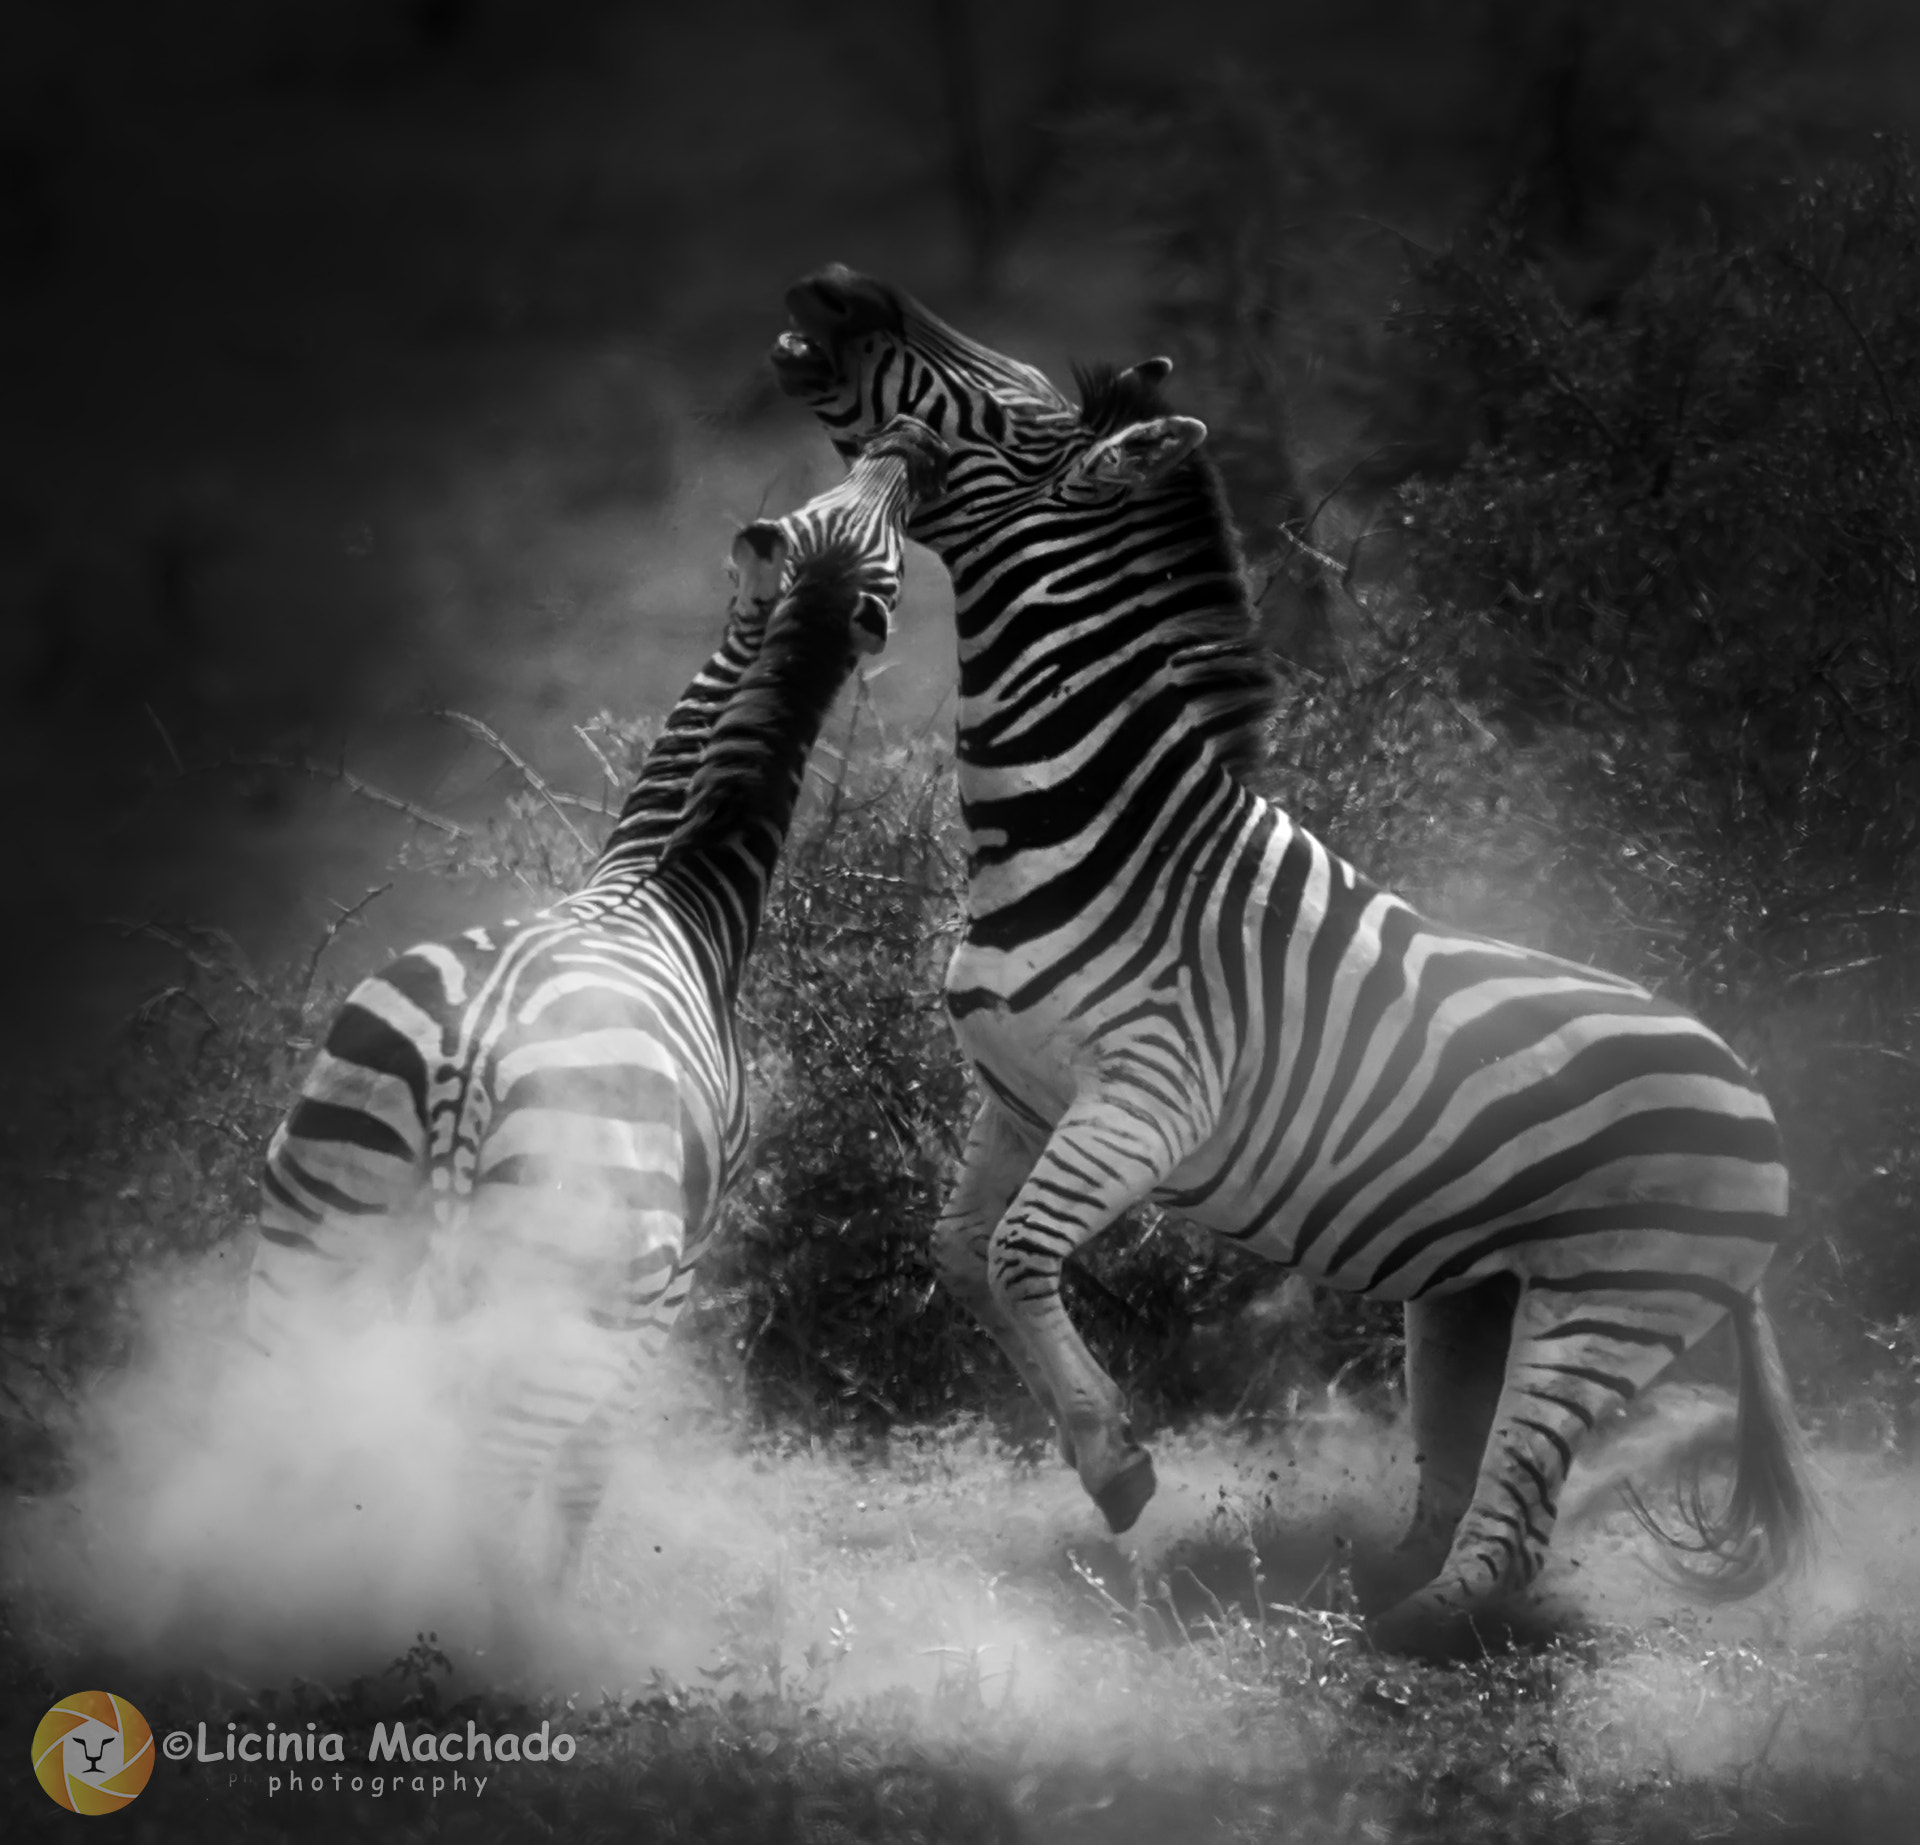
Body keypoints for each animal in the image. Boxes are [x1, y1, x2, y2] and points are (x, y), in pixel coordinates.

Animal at [246, 414, 947, 1589]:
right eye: (869, 525)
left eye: (844, 509)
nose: (903, 437)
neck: (667, 882)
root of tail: (471, 1053)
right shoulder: (673, 1286)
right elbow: (588, 1482)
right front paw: (561, 1595)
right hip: (567, 1301)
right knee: (495, 1493)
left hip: (318, 1231)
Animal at [770, 267, 1814, 1656]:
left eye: (1006, 411)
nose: (833, 287)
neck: (1090, 823)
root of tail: (1750, 1084)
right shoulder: (1019, 1095)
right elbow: (959, 1253)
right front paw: (1097, 1454)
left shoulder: (1148, 1098)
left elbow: (1019, 1253)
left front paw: (1119, 1468)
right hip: (1475, 1293)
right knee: (1473, 1473)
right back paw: (1363, 1584)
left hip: (1613, 1294)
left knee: (1519, 1506)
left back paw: (1399, 1631)